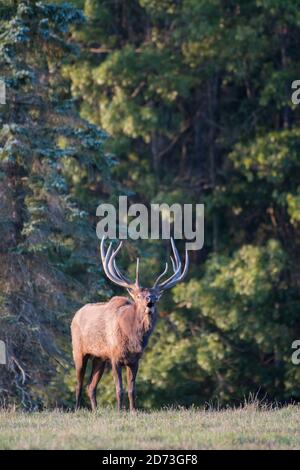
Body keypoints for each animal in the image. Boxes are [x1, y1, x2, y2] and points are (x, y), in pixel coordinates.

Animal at [70, 237, 189, 410]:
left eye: (155, 296)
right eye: (139, 296)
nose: (150, 302)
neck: (133, 338)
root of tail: (75, 315)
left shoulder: (135, 360)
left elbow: (132, 389)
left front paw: (133, 411)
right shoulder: (115, 356)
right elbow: (119, 388)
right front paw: (120, 411)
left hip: (99, 357)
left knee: (91, 386)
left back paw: (95, 411)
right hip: (79, 351)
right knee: (79, 383)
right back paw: (77, 409)